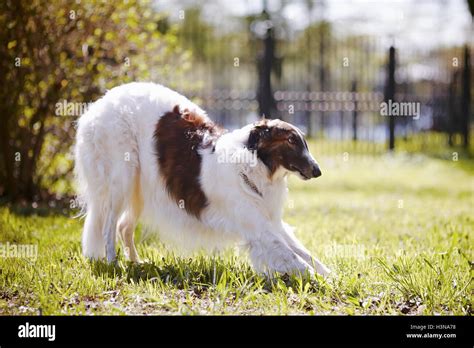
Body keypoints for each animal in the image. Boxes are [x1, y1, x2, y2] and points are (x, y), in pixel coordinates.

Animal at [75, 83, 330, 276]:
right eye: (291, 141)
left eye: (303, 142)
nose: (317, 170)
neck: (250, 165)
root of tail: (99, 104)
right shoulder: (258, 228)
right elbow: (296, 260)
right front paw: (323, 283)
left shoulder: (271, 222)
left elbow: (307, 255)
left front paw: (329, 275)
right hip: (122, 178)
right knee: (108, 227)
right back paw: (113, 263)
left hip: (139, 186)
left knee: (123, 226)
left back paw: (136, 263)